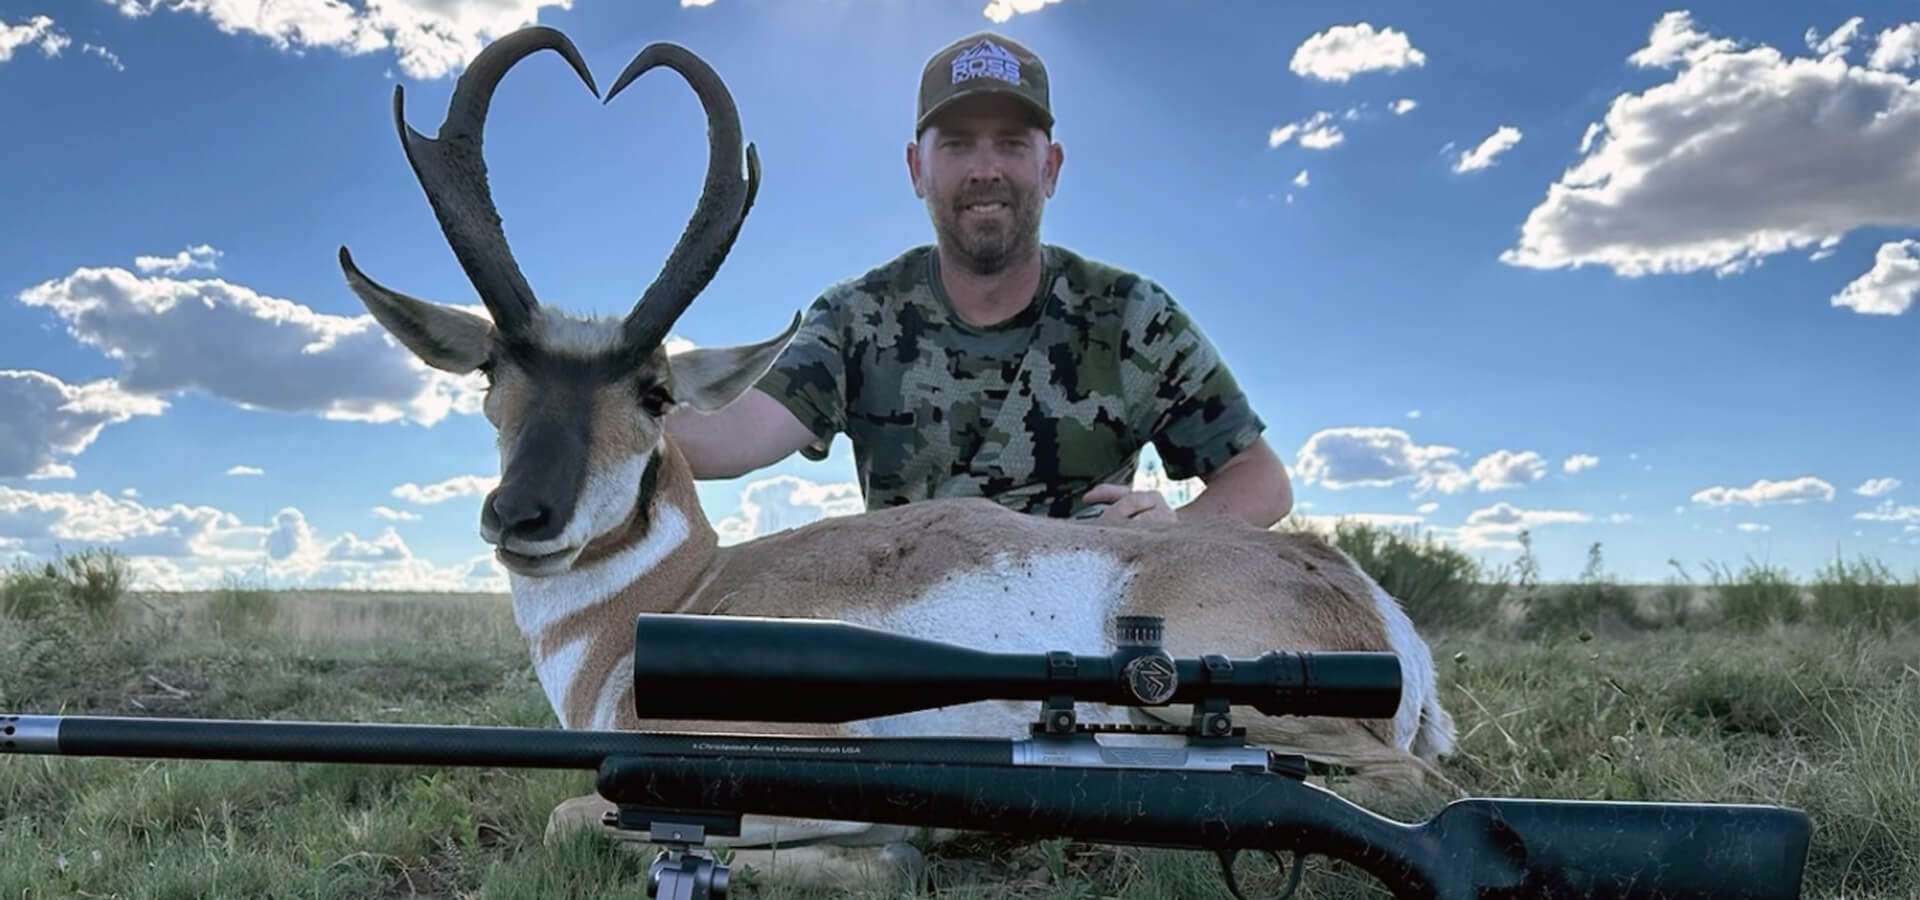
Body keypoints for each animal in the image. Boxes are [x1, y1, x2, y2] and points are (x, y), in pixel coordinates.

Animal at [338, 26, 1457, 887]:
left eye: (654, 392)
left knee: (1409, 784)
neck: (682, 596)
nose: (522, 515)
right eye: (492, 370)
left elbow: (577, 816)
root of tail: (1354, 586)